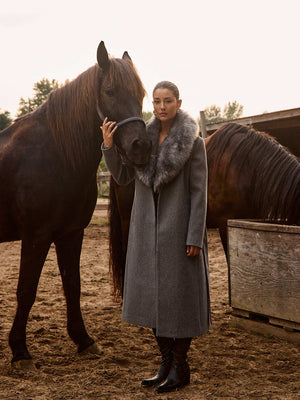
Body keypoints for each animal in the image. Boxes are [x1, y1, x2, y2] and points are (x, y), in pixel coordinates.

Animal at [0, 41, 152, 368]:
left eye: (142, 94)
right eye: (109, 91)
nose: (142, 147)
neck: (56, 154)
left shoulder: (71, 233)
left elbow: (73, 285)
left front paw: (83, 339)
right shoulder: (36, 236)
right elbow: (26, 290)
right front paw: (20, 351)